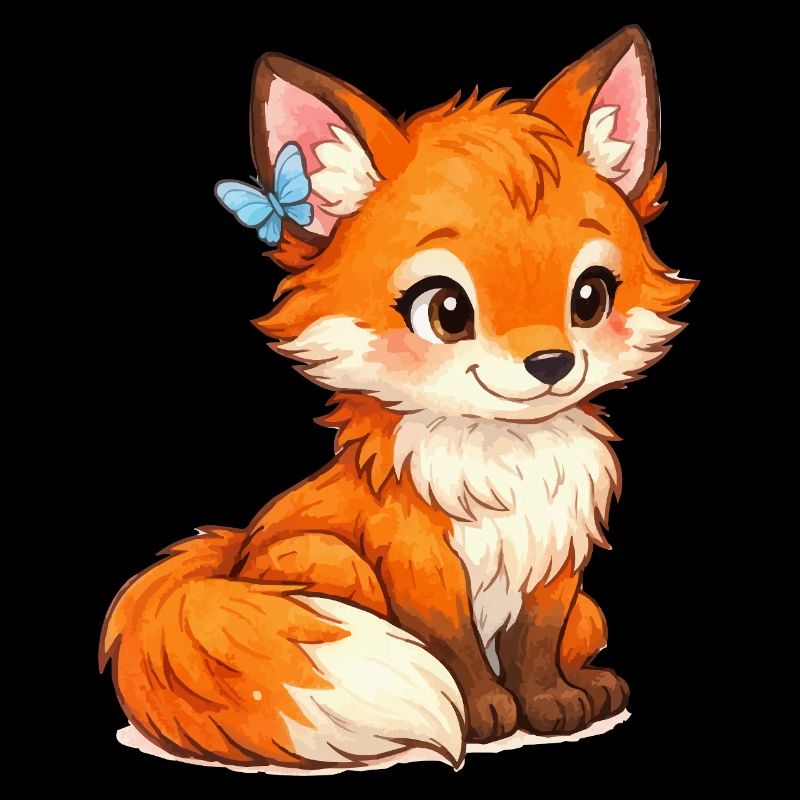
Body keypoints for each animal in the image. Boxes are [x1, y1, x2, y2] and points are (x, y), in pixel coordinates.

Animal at [101, 26, 695, 770]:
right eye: (445, 311)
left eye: (589, 298)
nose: (552, 363)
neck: (507, 461)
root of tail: (227, 552)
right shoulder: (419, 563)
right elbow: (453, 648)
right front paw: (485, 715)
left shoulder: (556, 561)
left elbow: (535, 644)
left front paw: (553, 704)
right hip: (325, 562)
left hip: (592, 614)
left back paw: (590, 683)